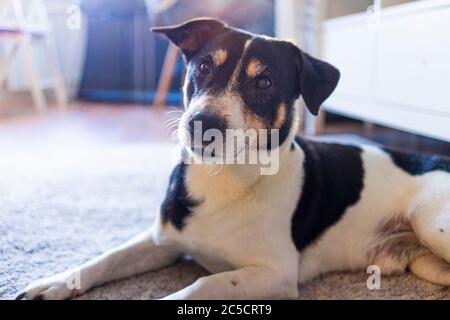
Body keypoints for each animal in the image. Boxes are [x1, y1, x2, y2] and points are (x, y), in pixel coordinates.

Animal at [16, 17, 450, 298]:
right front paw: (57, 281)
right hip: (426, 262)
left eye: (265, 82)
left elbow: (200, 284)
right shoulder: (161, 239)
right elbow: (107, 258)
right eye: (205, 66)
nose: (201, 123)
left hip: (430, 223)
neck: (223, 178)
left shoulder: (275, 274)